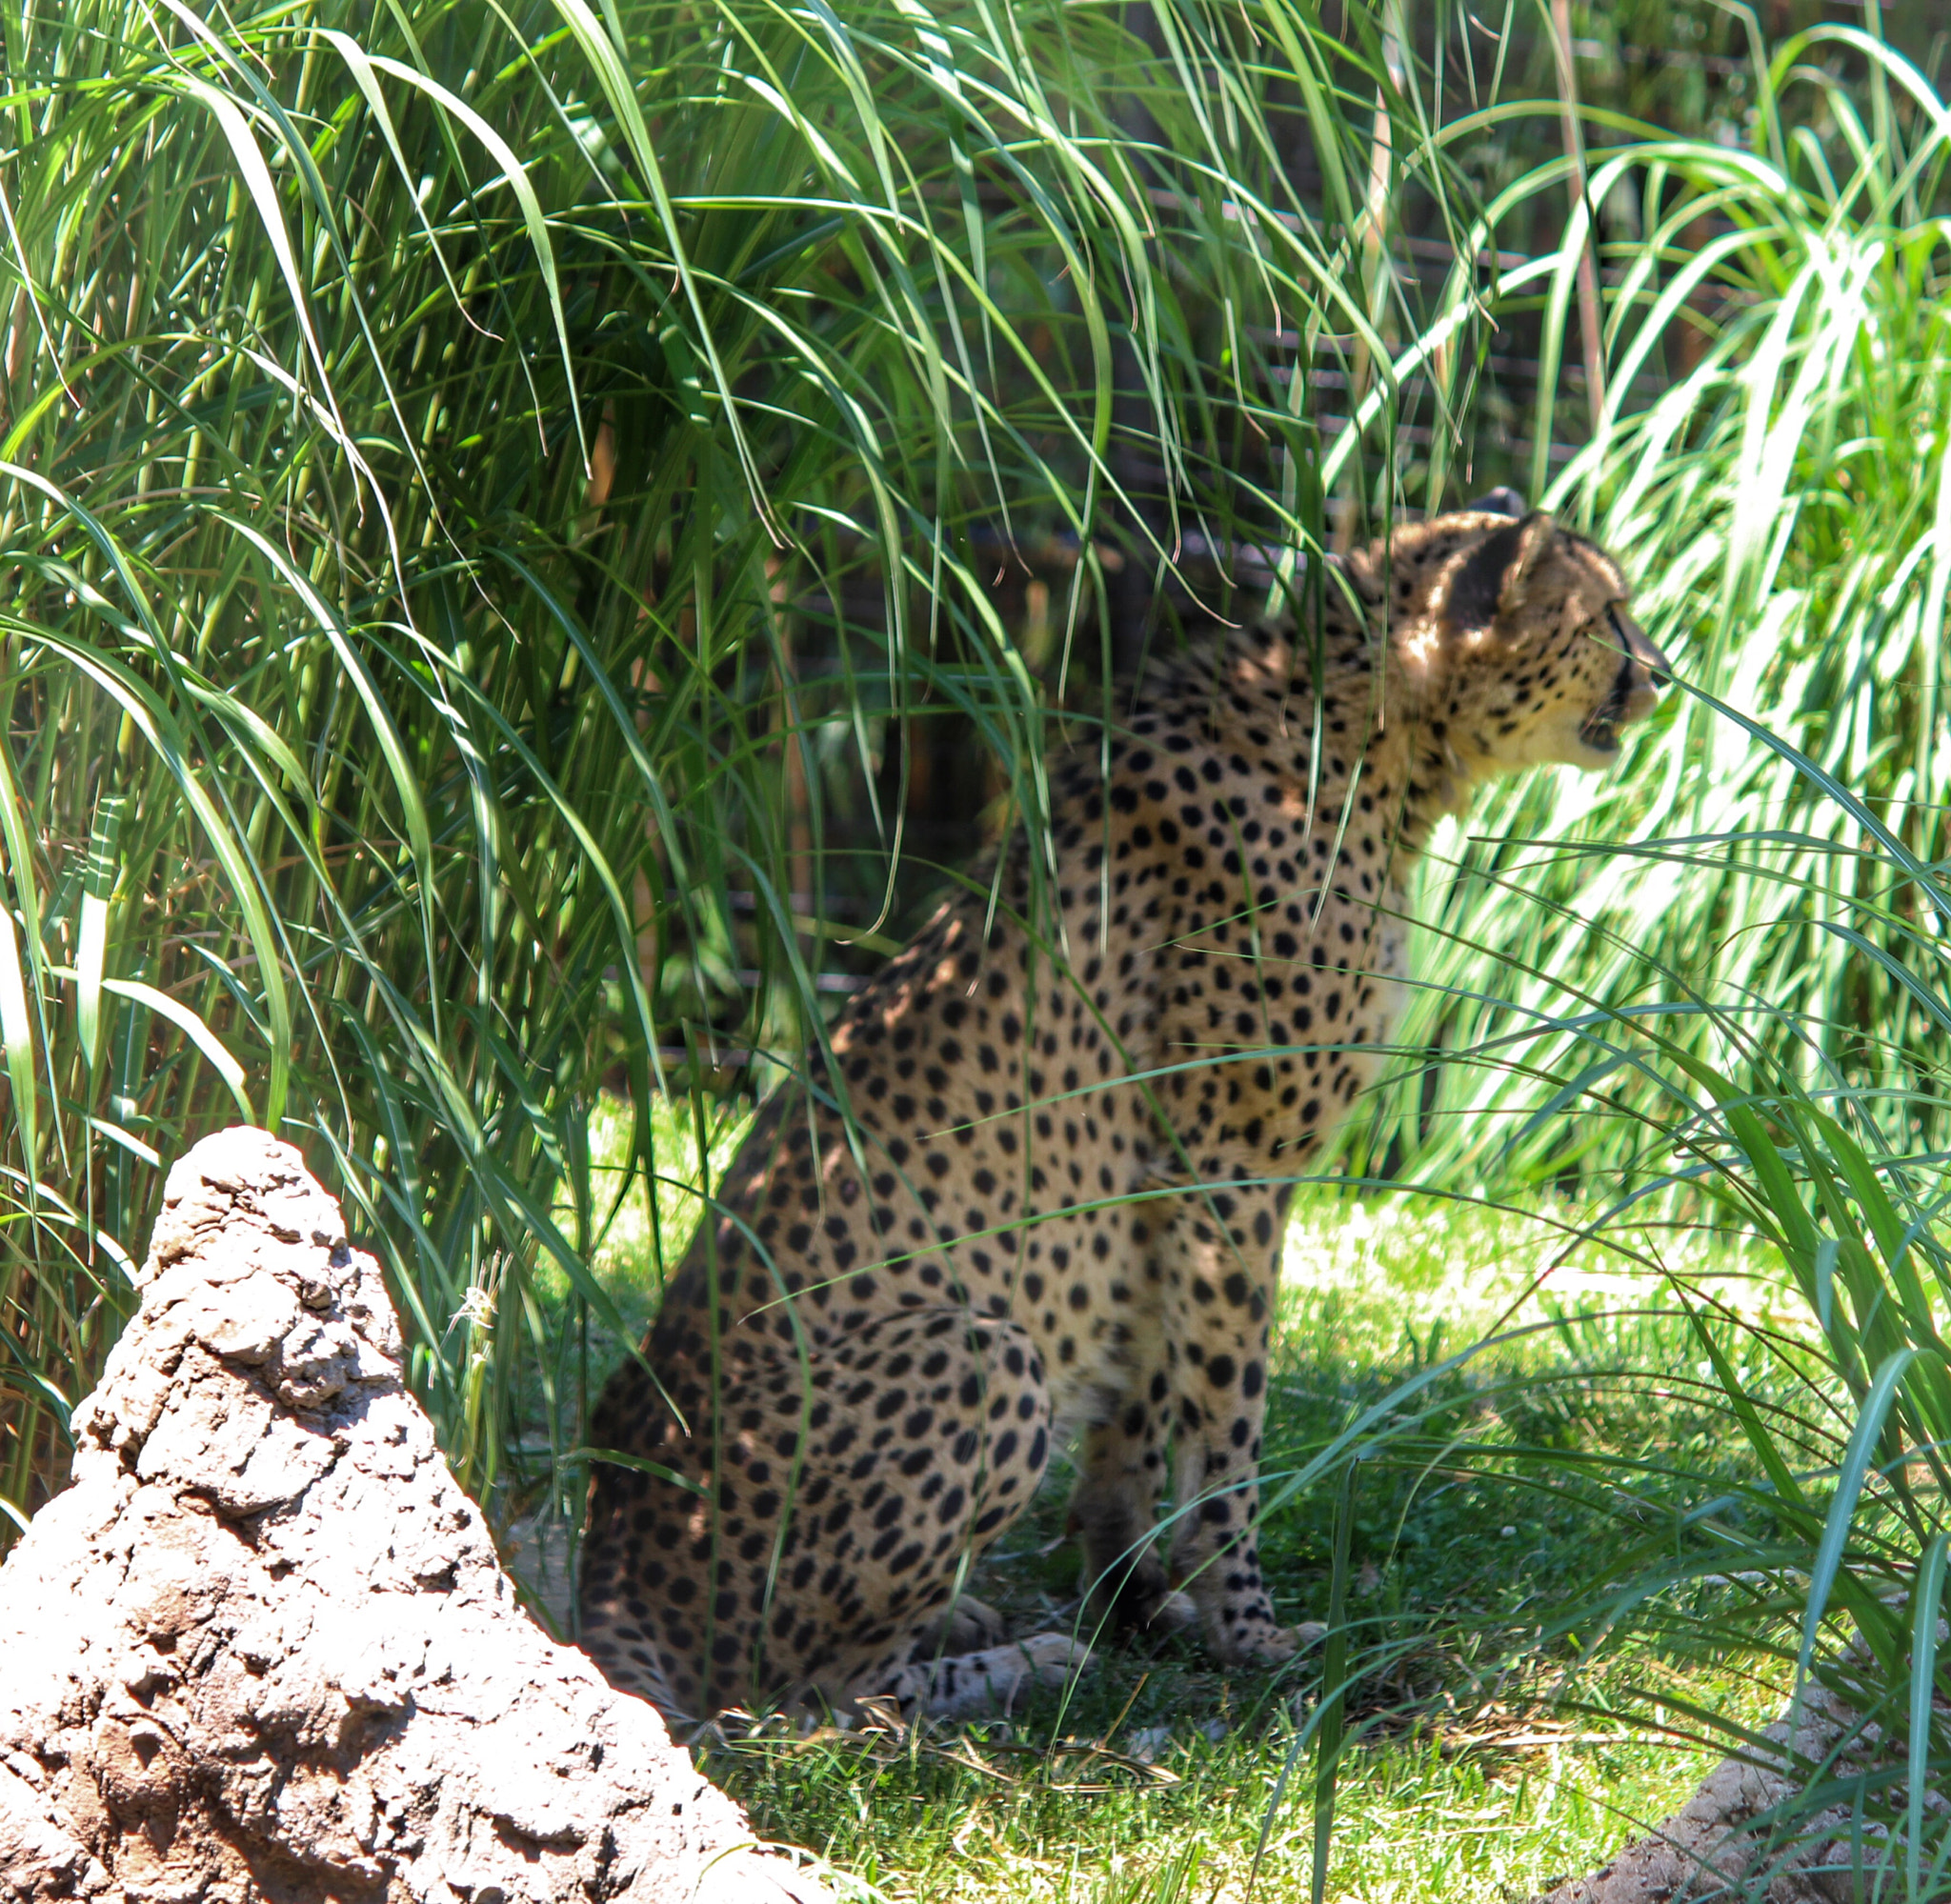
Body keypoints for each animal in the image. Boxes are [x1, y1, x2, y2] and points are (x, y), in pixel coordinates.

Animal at [577, 504, 1670, 1724]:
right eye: (1603, 615)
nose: (1660, 676)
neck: (1357, 738)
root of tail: (607, 1546)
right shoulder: (1230, 1166)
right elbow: (1227, 1424)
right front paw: (1246, 1627)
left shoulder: (1160, 1190)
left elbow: (1142, 1410)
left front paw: (1139, 1596)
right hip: (980, 1349)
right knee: (813, 1694)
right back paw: (1013, 1663)